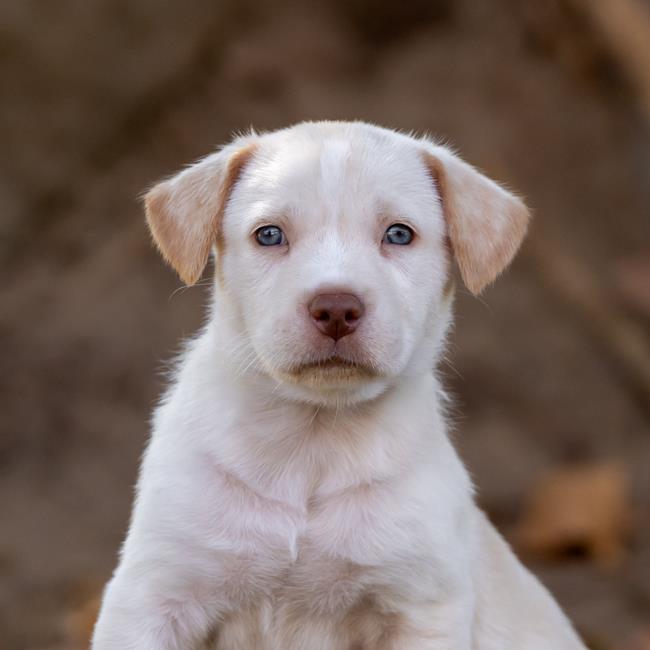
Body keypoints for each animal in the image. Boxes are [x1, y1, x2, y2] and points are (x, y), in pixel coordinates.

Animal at [92, 121, 588, 648]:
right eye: (269, 235)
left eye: (399, 234)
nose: (335, 308)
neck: (313, 439)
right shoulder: (152, 596)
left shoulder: (422, 606)